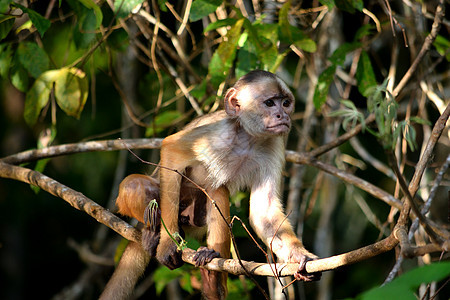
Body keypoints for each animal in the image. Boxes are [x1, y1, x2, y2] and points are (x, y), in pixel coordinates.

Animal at [100, 71, 322, 300]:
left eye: (286, 103)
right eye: (270, 103)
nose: (282, 116)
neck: (247, 137)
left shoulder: (273, 144)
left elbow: (264, 212)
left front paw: (301, 257)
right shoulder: (216, 132)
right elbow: (171, 150)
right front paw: (167, 244)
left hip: (194, 219)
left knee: (218, 191)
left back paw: (212, 282)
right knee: (135, 185)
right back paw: (151, 234)